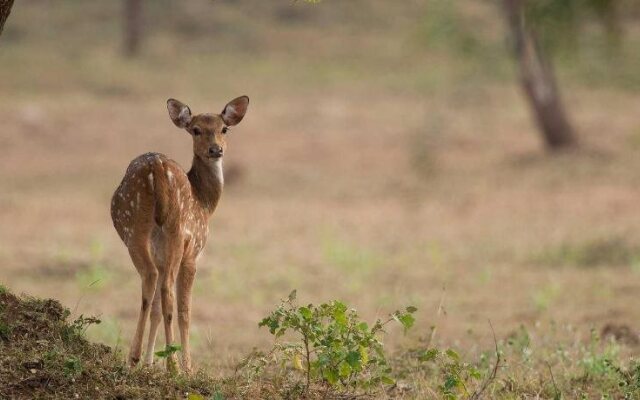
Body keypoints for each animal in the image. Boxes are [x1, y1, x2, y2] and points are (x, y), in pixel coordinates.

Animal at [110, 95, 250, 370]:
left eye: (224, 129)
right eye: (196, 130)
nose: (215, 150)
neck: (204, 203)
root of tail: (156, 167)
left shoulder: (161, 256)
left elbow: (154, 309)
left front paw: (150, 363)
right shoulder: (193, 251)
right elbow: (186, 310)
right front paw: (187, 366)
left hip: (134, 227)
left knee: (151, 283)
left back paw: (139, 358)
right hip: (175, 229)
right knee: (166, 290)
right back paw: (171, 364)